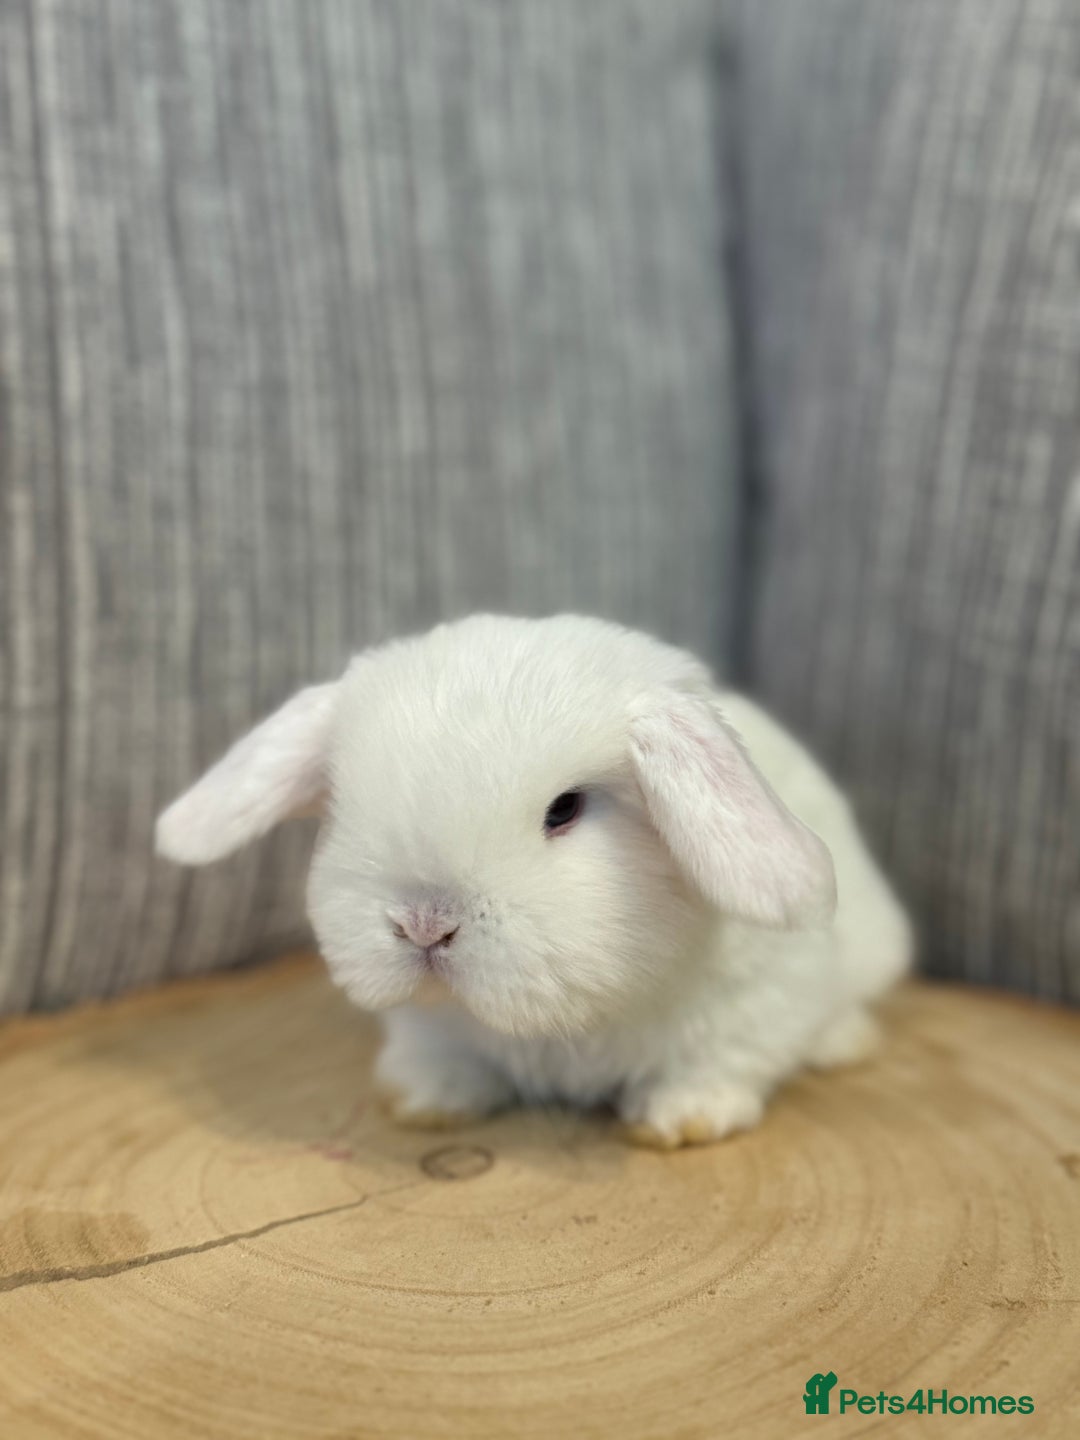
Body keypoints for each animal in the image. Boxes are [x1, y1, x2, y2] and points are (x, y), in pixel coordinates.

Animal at [156, 613, 912, 1147]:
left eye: (565, 809)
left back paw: (841, 1044)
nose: (424, 924)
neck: (566, 1024)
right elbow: (441, 1057)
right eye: (340, 803)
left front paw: (681, 1120)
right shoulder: (429, 1025)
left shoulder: (757, 1002)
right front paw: (425, 1102)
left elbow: (722, 1063)